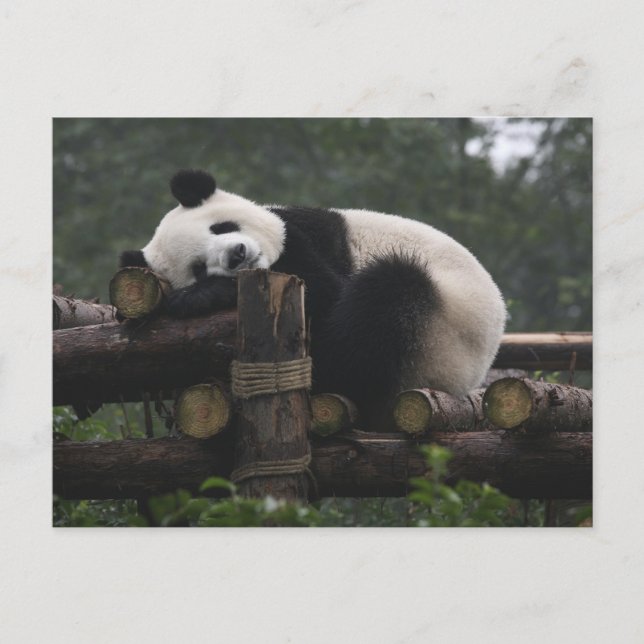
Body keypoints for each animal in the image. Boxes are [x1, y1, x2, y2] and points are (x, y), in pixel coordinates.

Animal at [120, 169, 506, 430]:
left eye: (221, 227)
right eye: (198, 267)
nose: (236, 255)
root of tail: (468, 378)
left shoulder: (305, 235)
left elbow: (325, 296)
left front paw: (196, 298)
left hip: (443, 329)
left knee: (387, 296)